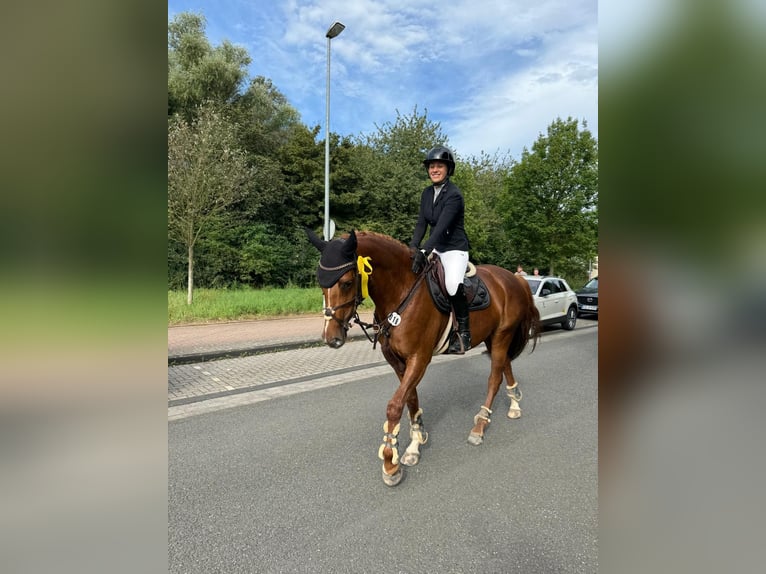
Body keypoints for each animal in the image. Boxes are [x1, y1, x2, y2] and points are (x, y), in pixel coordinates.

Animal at [306, 230, 540, 486]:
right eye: (321, 284)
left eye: (347, 283)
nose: (331, 338)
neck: (401, 290)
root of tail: (514, 278)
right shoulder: (398, 362)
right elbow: (410, 400)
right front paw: (415, 444)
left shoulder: (419, 359)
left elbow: (395, 406)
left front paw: (390, 463)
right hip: (492, 338)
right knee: (505, 365)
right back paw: (515, 403)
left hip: (501, 336)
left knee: (494, 378)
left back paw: (479, 425)